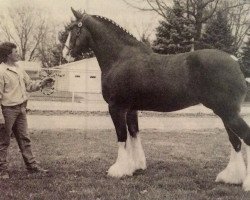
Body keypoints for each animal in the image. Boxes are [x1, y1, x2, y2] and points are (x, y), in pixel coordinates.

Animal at [63, 8, 250, 191]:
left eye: (73, 29)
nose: (66, 54)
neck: (121, 58)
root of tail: (235, 62)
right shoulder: (131, 110)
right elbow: (134, 134)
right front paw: (136, 166)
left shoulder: (116, 108)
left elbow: (122, 136)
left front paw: (119, 170)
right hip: (226, 113)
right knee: (235, 141)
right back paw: (230, 177)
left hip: (228, 113)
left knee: (243, 138)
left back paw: (245, 184)